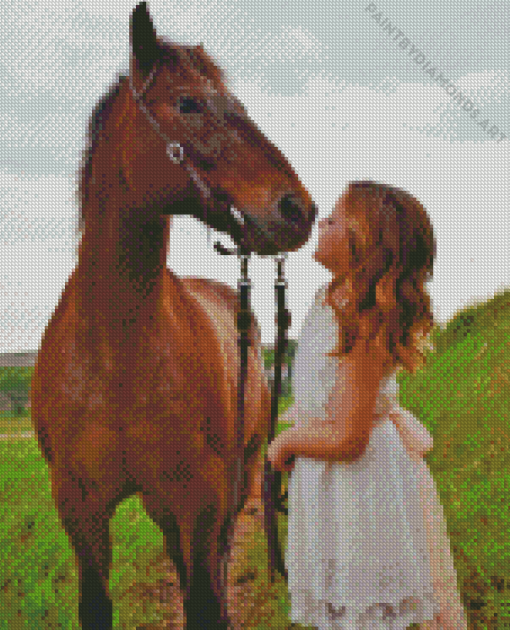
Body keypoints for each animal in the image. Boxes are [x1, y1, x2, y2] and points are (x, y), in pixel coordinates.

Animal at [29, 2, 316, 628]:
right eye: (188, 104)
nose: (298, 209)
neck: (117, 351)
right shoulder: (80, 509)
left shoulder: (201, 500)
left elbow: (205, 600)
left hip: (232, 485)